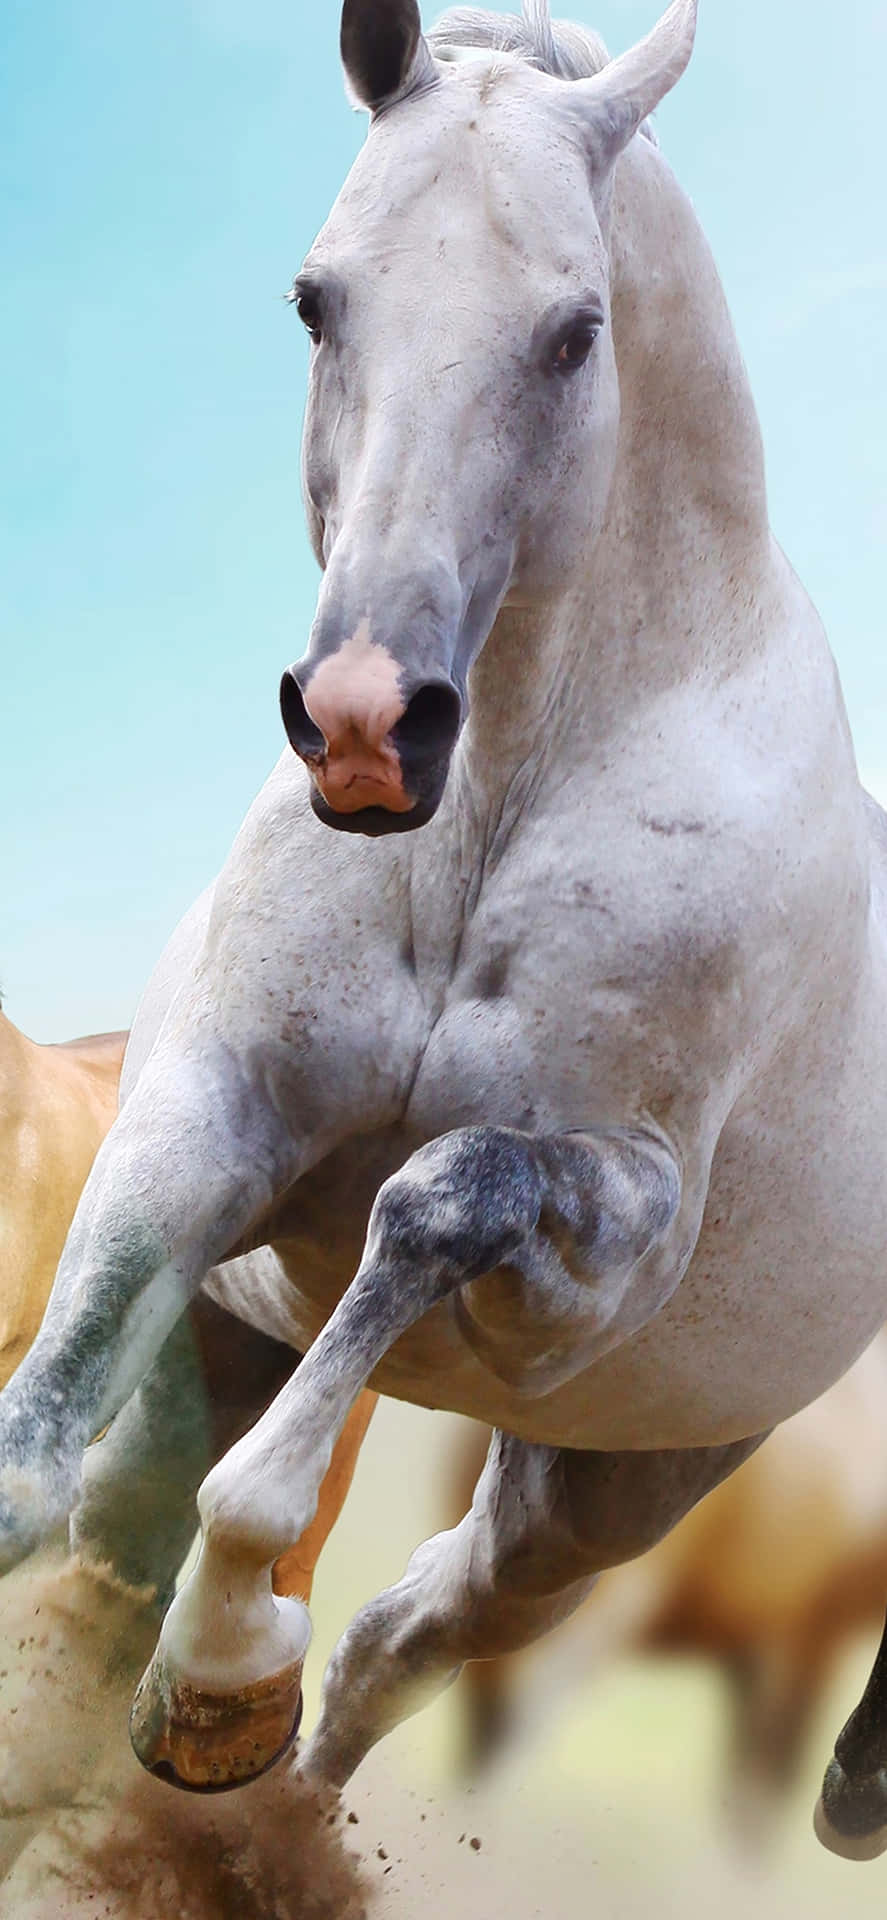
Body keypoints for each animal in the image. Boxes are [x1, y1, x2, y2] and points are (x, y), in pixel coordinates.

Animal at [1, 0, 886, 1862]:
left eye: (574, 331)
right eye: (315, 299)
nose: (361, 725)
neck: (488, 814)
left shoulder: (595, 1254)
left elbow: (426, 1203)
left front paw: (223, 1664)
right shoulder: (204, 1121)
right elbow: (32, 1458)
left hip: (601, 1495)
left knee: (407, 1636)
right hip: (249, 1343)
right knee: (192, 1561)